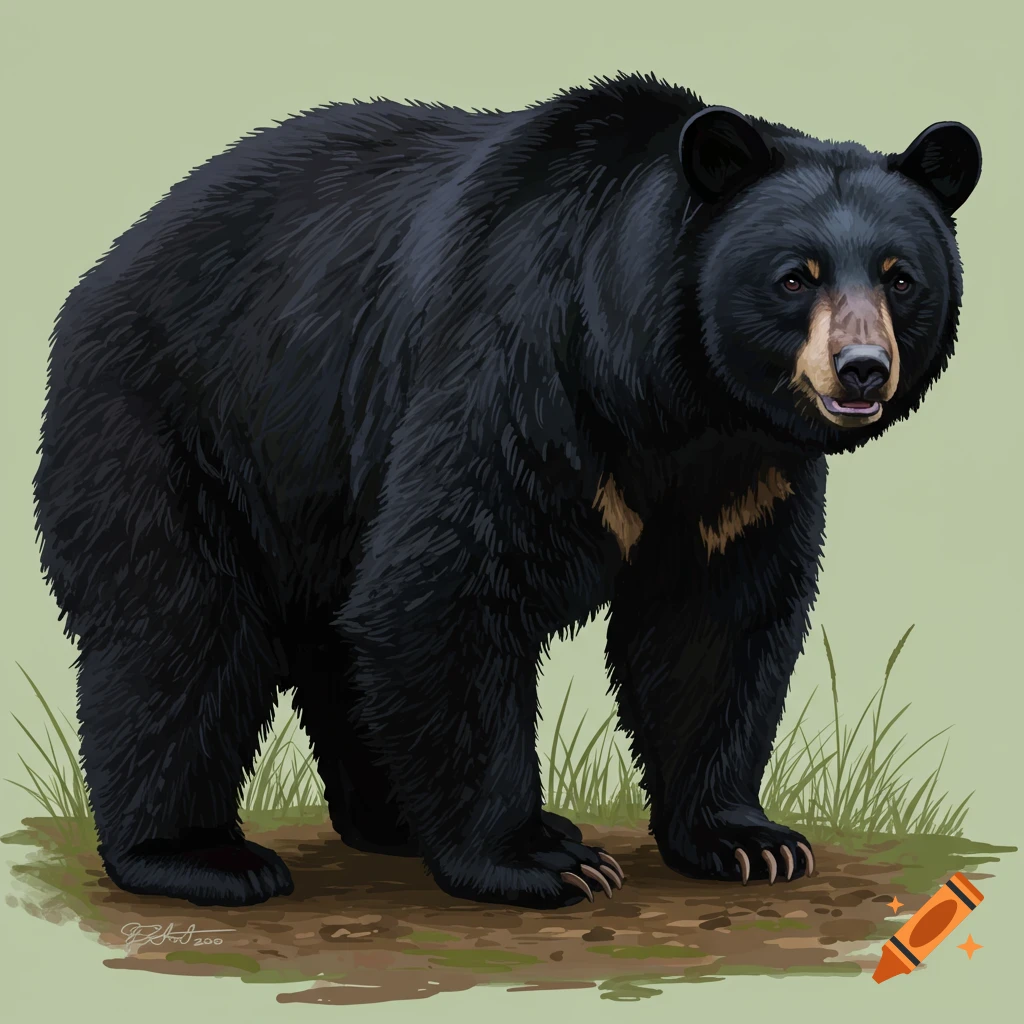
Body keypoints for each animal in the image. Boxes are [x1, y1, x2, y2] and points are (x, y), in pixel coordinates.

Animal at [33, 73, 981, 910]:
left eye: (899, 276)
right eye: (795, 275)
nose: (862, 369)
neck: (675, 396)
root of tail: (106, 266)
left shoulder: (748, 474)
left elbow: (716, 624)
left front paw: (747, 840)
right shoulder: (526, 371)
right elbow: (451, 586)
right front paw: (539, 862)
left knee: (331, 639)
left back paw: (389, 821)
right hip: (179, 422)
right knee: (179, 632)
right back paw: (198, 856)